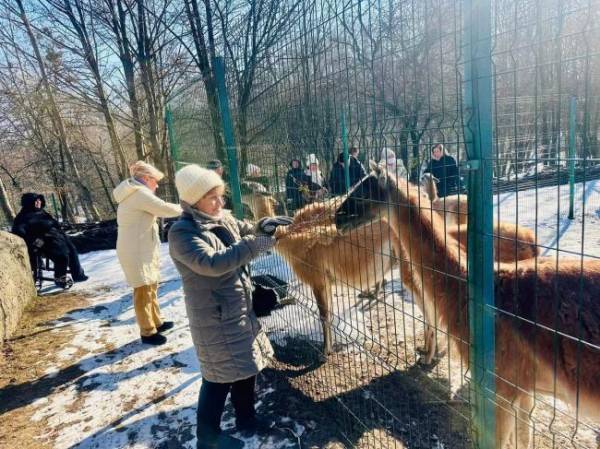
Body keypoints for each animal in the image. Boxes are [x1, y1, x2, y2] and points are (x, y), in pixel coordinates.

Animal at [338, 164, 600, 448]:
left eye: (364, 191)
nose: (337, 217)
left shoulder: (500, 386)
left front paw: (426, 355)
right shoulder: (524, 389)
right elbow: (523, 439)